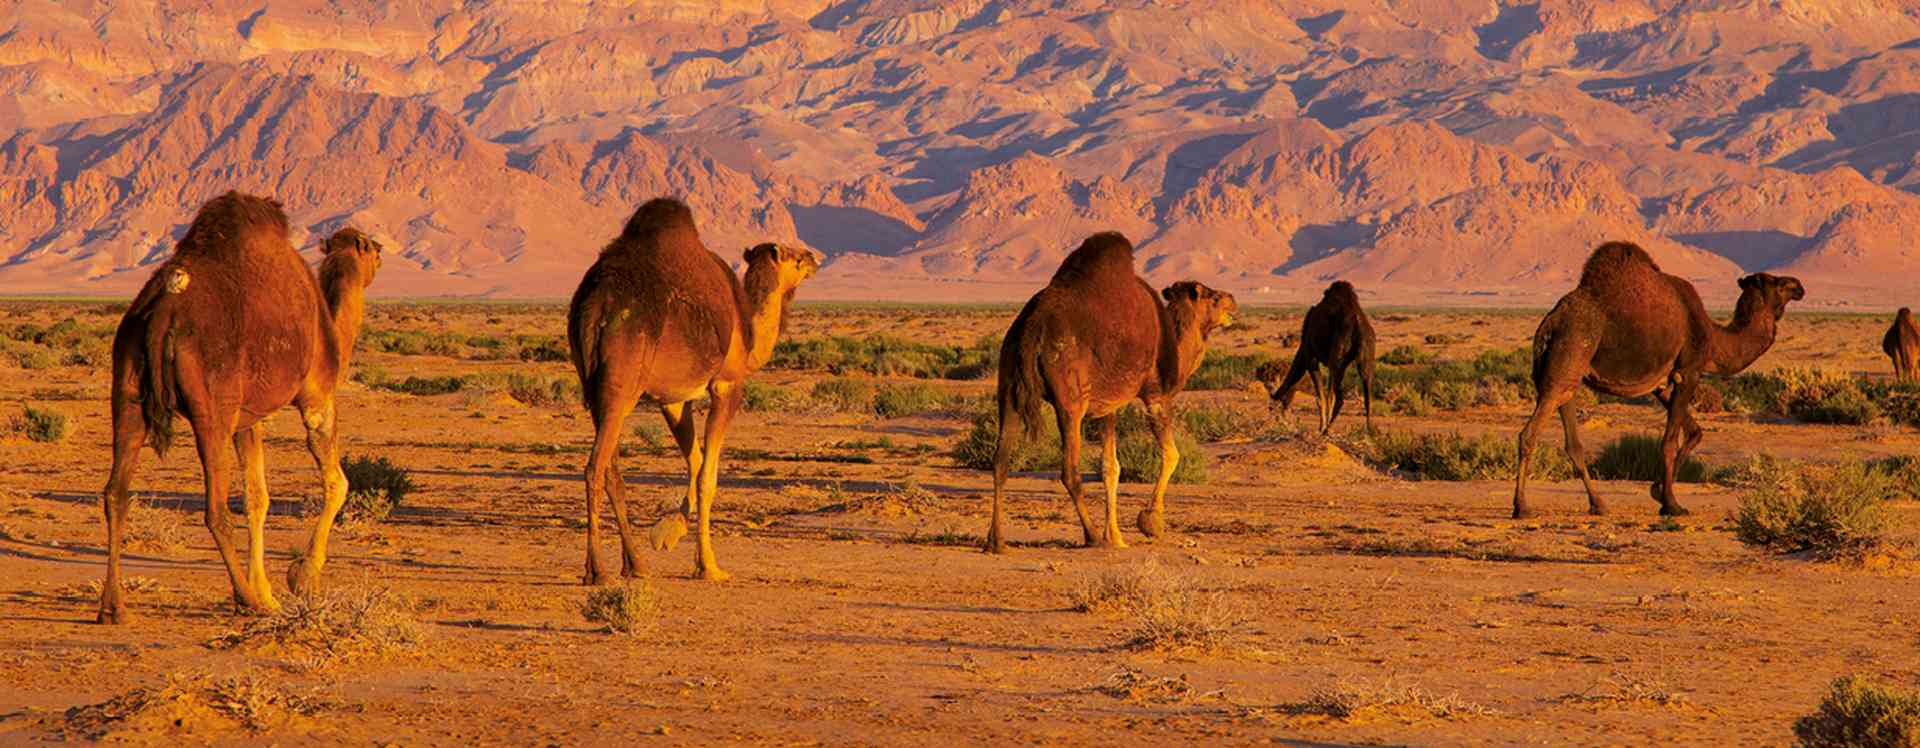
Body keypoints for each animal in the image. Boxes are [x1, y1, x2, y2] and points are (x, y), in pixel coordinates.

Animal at [98, 192, 382, 623]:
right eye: (369, 246)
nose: (381, 250)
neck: (331, 326)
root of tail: (163, 311)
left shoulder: (248, 419)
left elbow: (256, 498)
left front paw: (266, 589)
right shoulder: (317, 397)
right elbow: (338, 483)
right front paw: (300, 578)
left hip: (127, 388)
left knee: (116, 492)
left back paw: (113, 607)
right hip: (210, 410)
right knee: (214, 510)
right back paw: (248, 601)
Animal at [567, 197, 817, 583]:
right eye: (793, 257)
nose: (814, 257)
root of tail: (595, 306)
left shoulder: (674, 398)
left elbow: (696, 461)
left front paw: (668, 532)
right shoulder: (727, 384)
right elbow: (708, 476)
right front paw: (709, 566)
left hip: (592, 387)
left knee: (611, 470)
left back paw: (636, 564)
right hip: (619, 387)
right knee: (594, 467)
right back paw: (598, 570)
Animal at [985, 232, 1237, 553]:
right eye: (1213, 297)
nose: (1233, 299)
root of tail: (1031, 328)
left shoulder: (1110, 405)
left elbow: (1110, 467)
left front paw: (1115, 536)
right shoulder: (1155, 394)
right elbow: (1171, 454)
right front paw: (1150, 522)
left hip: (1008, 386)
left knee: (1000, 460)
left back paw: (996, 541)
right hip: (1070, 401)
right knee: (1069, 470)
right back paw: (1091, 536)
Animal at [1262, 281, 1376, 433]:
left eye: (1271, 407)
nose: (1274, 419)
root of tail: (1357, 322)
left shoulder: (1310, 356)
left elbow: (1321, 396)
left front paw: (1321, 427)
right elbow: (1328, 395)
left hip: (1336, 356)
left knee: (1337, 396)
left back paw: (1327, 429)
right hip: (1366, 354)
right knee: (1367, 391)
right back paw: (1369, 431)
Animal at [1514, 242, 1803, 519]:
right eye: (1778, 283)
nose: (1799, 286)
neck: (1714, 339)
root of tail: (1550, 324)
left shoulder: (1662, 384)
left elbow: (1695, 432)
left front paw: (1657, 491)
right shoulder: (1689, 372)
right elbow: (1669, 442)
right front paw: (1671, 504)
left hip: (1568, 375)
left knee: (1573, 442)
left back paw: (1599, 504)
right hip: (1570, 353)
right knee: (1528, 434)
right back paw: (1522, 507)